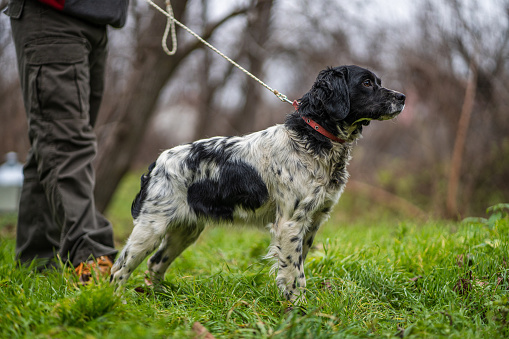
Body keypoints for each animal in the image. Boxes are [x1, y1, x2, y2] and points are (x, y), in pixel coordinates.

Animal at [111, 65, 404, 302]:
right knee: (119, 268)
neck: (312, 141)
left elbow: (297, 268)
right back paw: (117, 303)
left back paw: (160, 299)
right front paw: (298, 309)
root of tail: (157, 163)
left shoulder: (312, 222)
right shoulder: (290, 223)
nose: (402, 97)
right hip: (151, 228)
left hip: (186, 230)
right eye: (366, 82)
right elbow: (294, 274)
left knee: (155, 264)